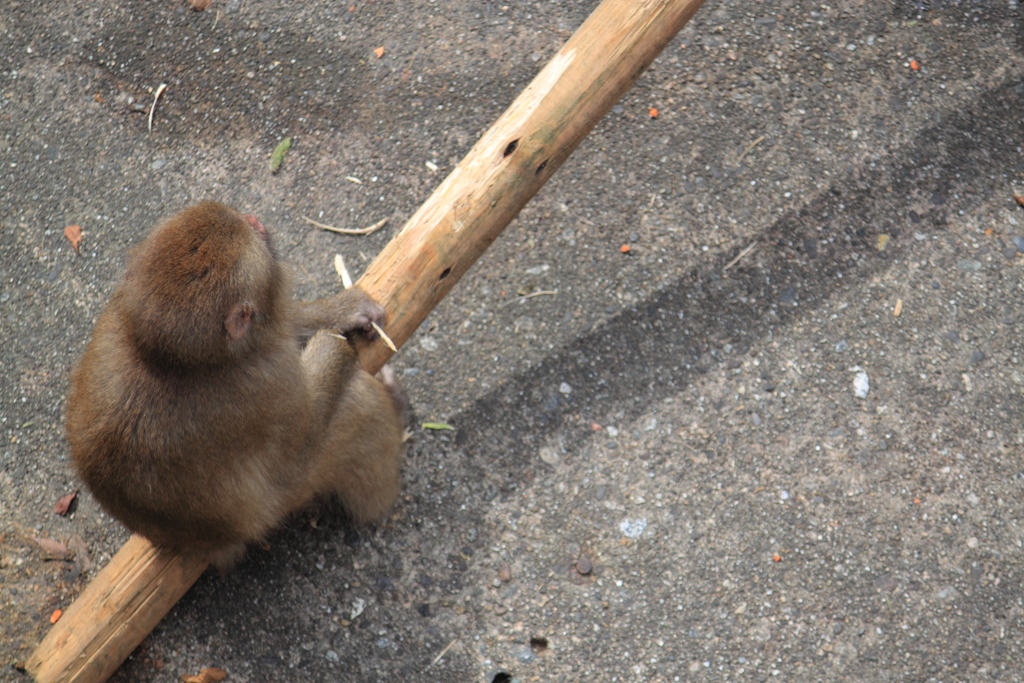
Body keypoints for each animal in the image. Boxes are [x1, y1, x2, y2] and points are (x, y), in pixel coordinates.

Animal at [65, 201, 403, 573]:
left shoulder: (115, 312)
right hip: (288, 499)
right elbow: (301, 443)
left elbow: (281, 326)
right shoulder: (269, 382)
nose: (254, 219)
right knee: (357, 407)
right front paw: (335, 344)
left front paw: (340, 310)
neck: (170, 360)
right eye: (253, 231)